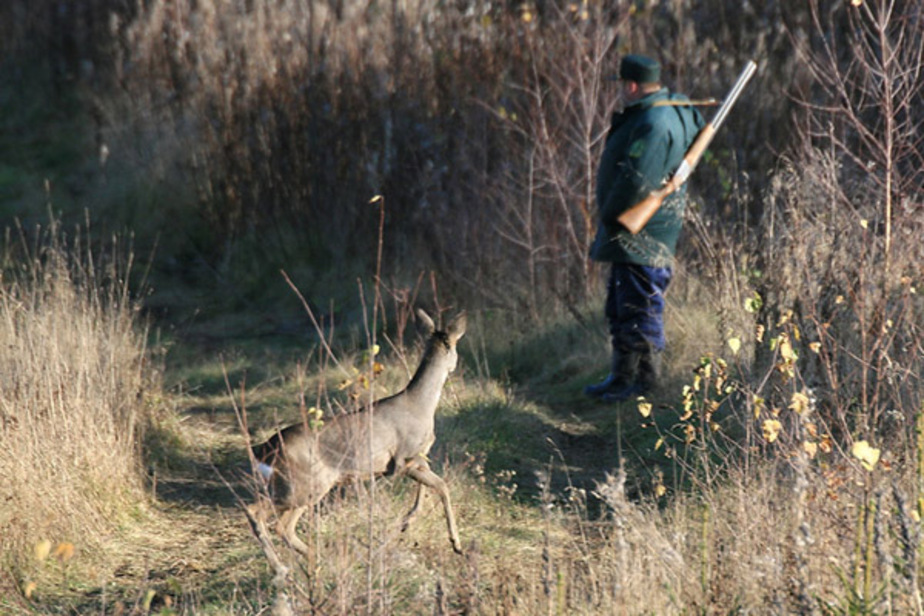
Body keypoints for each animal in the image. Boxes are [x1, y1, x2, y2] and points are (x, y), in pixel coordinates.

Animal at [245, 308, 466, 568]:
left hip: (301, 485)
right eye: (454, 347)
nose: (456, 366)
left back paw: (317, 560)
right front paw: (456, 543)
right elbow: (442, 485)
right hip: (304, 483)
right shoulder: (403, 458)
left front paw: (408, 521)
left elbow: (428, 486)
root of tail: (266, 447)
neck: (421, 405)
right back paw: (284, 568)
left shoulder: (414, 458)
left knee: (281, 526)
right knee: (260, 514)